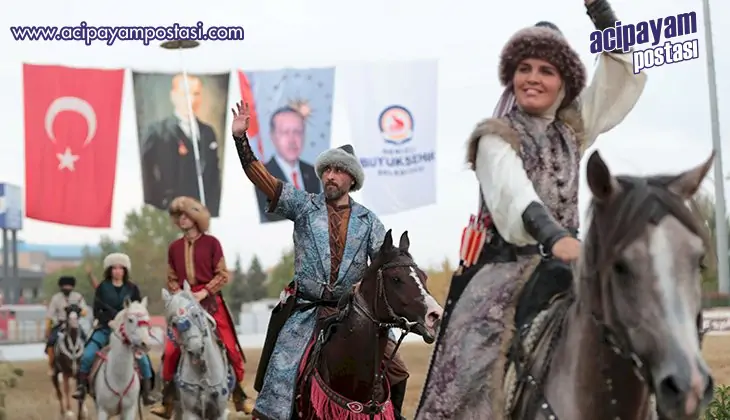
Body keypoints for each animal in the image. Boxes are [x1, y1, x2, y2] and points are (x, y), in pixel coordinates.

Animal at [161, 281, 240, 420]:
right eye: (175, 324)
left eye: (196, 315)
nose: (196, 348)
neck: (204, 374)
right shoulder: (190, 412)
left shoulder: (220, 413)